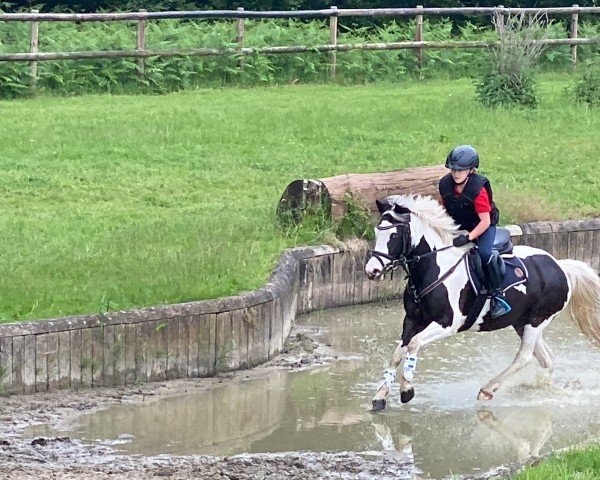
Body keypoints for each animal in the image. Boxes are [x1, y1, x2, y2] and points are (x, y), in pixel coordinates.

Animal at [364, 193, 600, 410]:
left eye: (395, 235)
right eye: (376, 231)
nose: (371, 270)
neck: (435, 267)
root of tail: (560, 267)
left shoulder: (447, 323)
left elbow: (414, 344)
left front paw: (407, 389)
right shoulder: (412, 320)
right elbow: (397, 353)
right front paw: (380, 396)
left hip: (537, 319)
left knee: (524, 356)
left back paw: (488, 389)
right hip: (522, 322)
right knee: (546, 358)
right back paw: (540, 387)